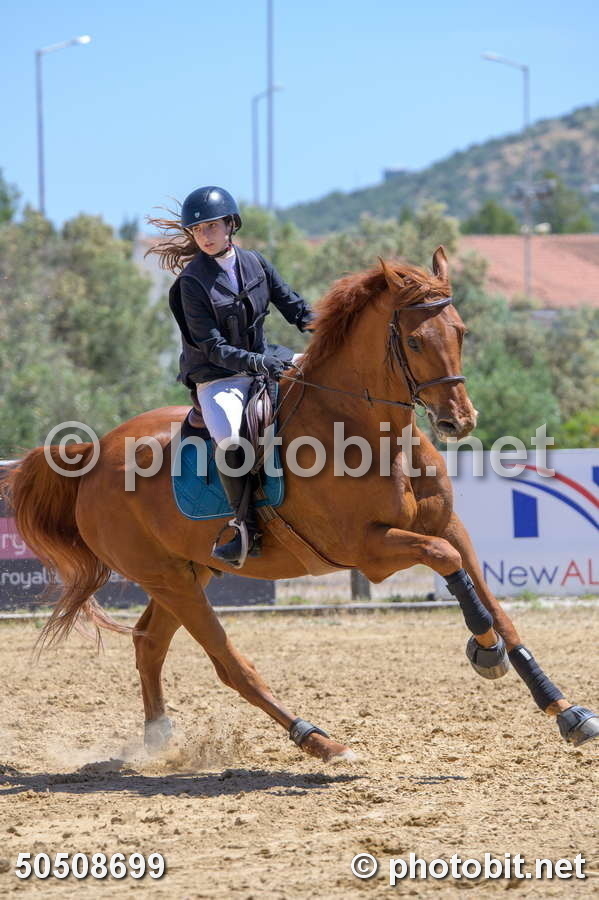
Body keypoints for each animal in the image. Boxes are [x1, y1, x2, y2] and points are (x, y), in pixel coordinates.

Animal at [5, 247, 598, 762]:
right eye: (413, 340)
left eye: (460, 332)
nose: (459, 421)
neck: (368, 430)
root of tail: (92, 454)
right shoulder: (371, 551)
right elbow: (448, 565)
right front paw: (485, 651)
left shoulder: (449, 525)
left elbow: (496, 604)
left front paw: (563, 708)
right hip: (170, 580)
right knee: (228, 665)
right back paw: (317, 739)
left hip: (187, 573)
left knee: (149, 643)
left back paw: (159, 744)